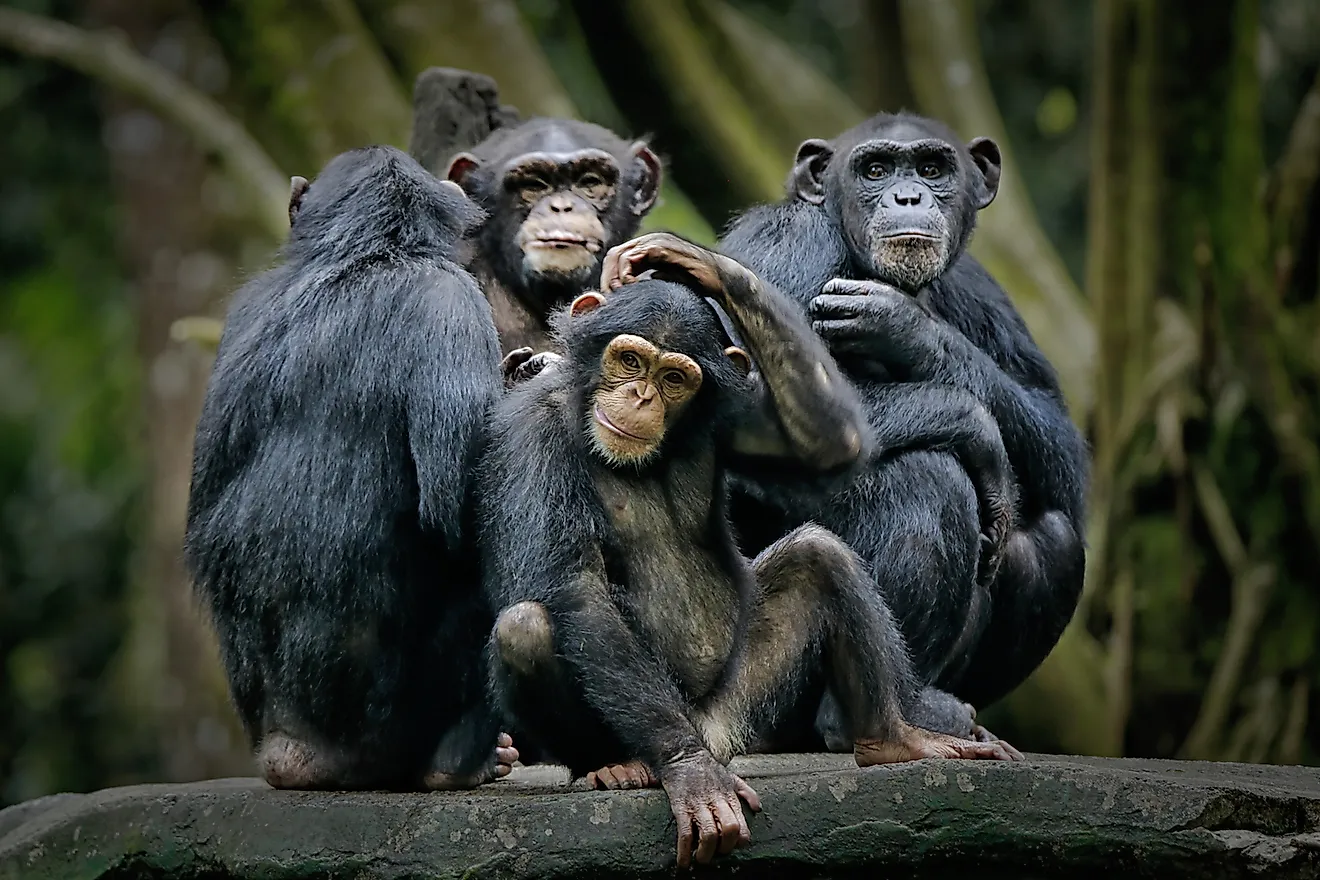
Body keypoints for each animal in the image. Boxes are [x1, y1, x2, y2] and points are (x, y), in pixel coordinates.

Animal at [183, 143, 512, 791]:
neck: (364, 252)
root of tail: (292, 755)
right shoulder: (452, 304)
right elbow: (463, 512)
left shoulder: (243, 308)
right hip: (388, 735)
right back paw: (465, 765)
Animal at [480, 233, 1013, 876]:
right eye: (628, 361)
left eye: (674, 378)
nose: (640, 395)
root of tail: (711, 734)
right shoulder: (532, 431)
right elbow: (575, 588)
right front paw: (690, 775)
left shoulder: (735, 413)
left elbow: (830, 443)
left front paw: (698, 262)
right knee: (527, 626)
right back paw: (621, 766)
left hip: (742, 709)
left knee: (819, 555)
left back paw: (896, 740)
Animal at [718, 112, 1087, 728]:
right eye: (875, 169)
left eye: (932, 168)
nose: (909, 194)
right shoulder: (786, 242)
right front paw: (973, 423)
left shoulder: (980, 286)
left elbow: (1062, 444)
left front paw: (908, 327)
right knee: (930, 481)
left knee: (1055, 541)